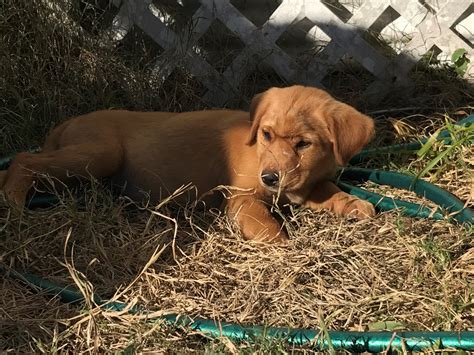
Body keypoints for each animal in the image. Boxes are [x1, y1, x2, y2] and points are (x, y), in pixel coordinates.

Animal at [1, 85, 376, 245]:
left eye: (303, 144)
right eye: (266, 134)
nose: (270, 178)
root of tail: (69, 122)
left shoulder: (307, 183)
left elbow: (330, 190)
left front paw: (355, 203)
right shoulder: (241, 199)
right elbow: (266, 224)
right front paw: (281, 245)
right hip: (100, 153)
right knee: (24, 159)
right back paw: (13, 200)